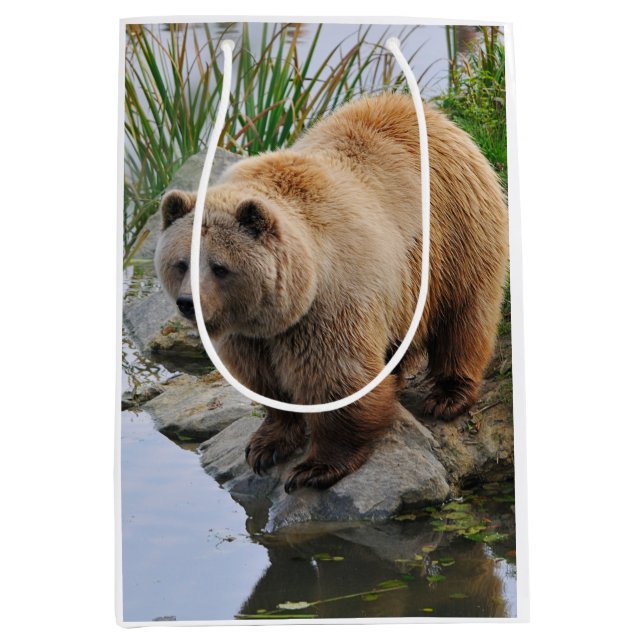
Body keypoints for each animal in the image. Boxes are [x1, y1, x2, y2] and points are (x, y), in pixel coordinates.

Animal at [154, 92, 508, 493]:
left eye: (219, 267)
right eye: (181, 263)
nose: (188, 304)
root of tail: (432, 115)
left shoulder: (327, 306)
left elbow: (335, 382)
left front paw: (315, 467)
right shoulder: (250, 334)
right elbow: (265, 382)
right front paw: (265, 445)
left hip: (454, 234)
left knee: (463, 315)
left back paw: (448, 396)